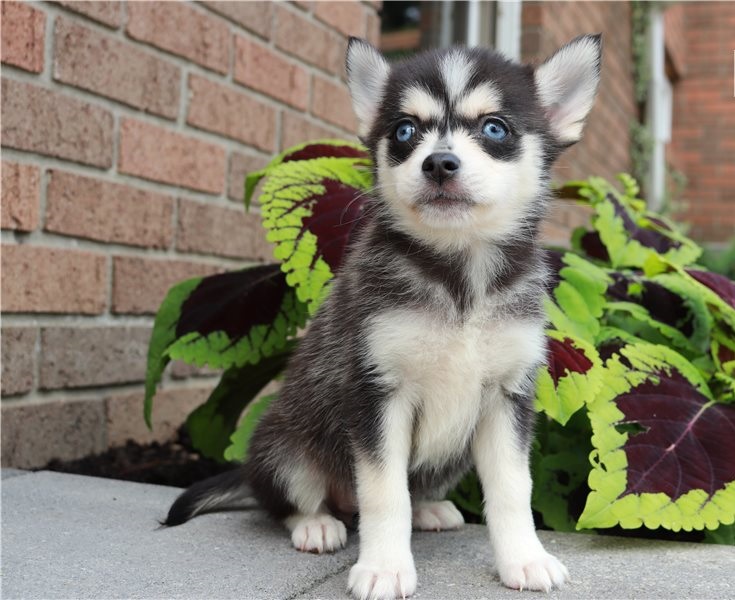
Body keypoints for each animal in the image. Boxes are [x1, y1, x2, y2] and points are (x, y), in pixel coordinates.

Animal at [167, 35, 604, 596]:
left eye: (494, 128)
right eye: (404, 131)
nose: (439, 163)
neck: (459, 276)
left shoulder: (508, 397)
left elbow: (512, 489)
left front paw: (525, 559)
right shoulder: (377, 391)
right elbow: (383, 492)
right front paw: (384, 568)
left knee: (416, 490)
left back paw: (430, 510)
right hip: (285, 447)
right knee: (289, 501)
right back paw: (316, 524)